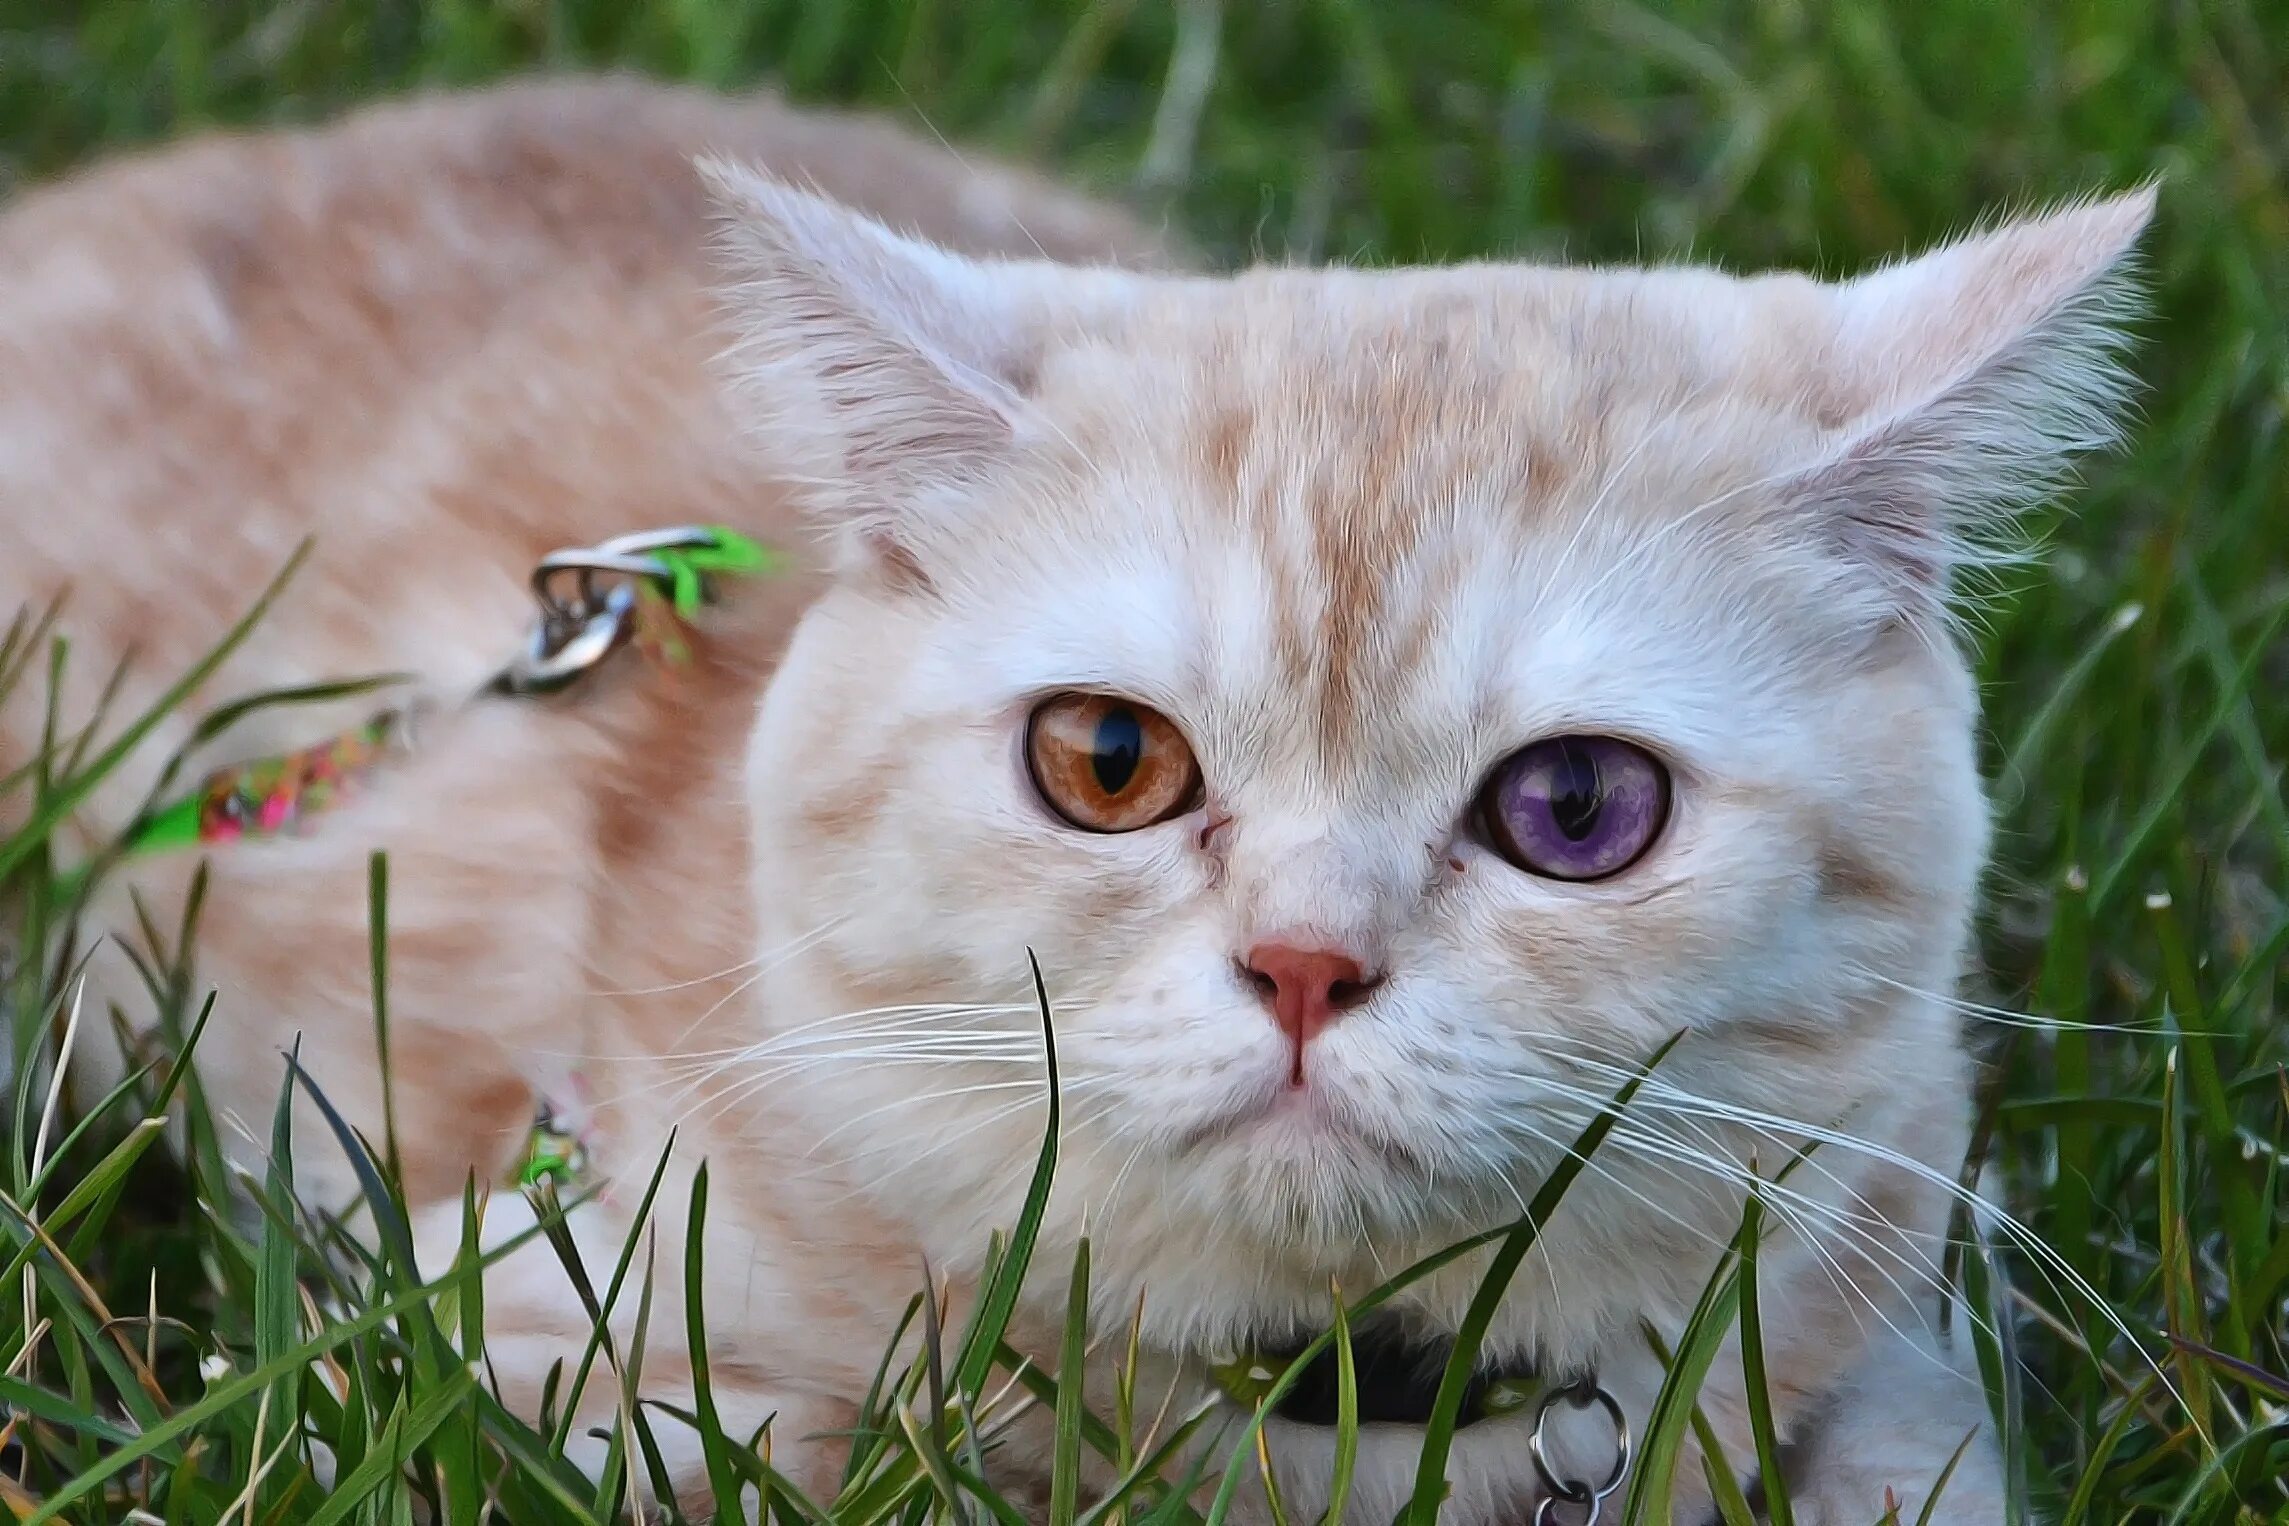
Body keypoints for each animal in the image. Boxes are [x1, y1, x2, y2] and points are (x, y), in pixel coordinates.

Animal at [0, 74, 2142, 1526]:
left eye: (1574, 806)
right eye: (1108, 763)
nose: (1302, 967)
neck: (1339, 1418)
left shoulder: (1888, 1289)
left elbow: (1914, 1455)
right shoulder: (471, 1320)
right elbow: (807, 1448)